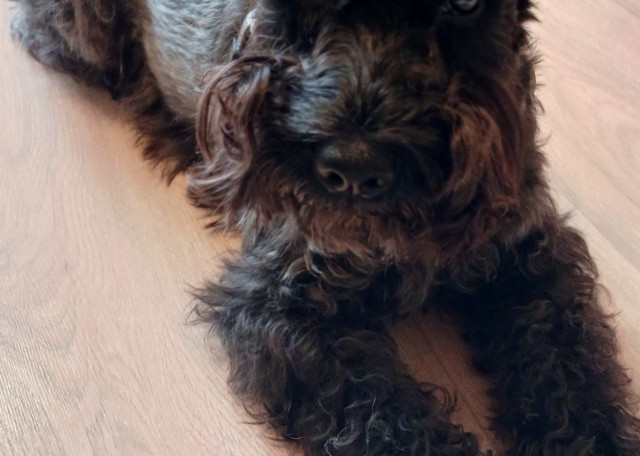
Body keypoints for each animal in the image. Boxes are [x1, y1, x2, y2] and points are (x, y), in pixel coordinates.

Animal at [11, 0, 640, 454]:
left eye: (465, 5)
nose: (355, 166)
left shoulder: (532, 257)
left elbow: (568, 370)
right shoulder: (278, 308)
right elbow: (384, 418)